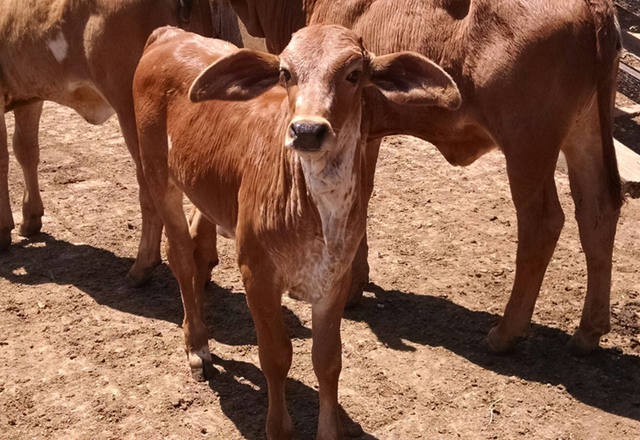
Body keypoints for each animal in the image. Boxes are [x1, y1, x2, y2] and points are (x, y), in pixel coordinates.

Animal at [0, 0, 240, 286]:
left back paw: (143, 264)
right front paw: (30, 218)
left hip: (133, 115)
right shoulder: (29, 93)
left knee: (148, 190)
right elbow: (25, 149)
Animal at [131, 25, 460, 438]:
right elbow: (276, 356)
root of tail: (169, 33)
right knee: (180, 258)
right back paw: (197, 347)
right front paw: (279, 427)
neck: (315, 210)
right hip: (157, 171)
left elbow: (328, 360)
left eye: (354, 74)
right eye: (285, 73)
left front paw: (330, 430)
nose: (307, 130)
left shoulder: (335, 279)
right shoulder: (257, 274)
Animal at [220, 0, 624, 354]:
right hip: (584, 129)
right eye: (287, 72)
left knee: (541, 222)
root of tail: (595, 8)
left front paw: (350, 288)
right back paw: (588, 332)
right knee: (598, 209)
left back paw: (505, 333)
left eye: (351, 74)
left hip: (528, 143)